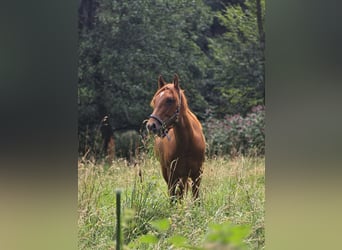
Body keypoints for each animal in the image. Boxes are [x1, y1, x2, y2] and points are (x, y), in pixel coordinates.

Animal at [146, 73, 204, 201]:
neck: (187, 143)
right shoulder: (172, 175)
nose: (151, 125)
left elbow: (196, 199)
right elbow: (173, 198)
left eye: (170, 100)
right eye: (154, 101)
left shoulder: (197, 175)